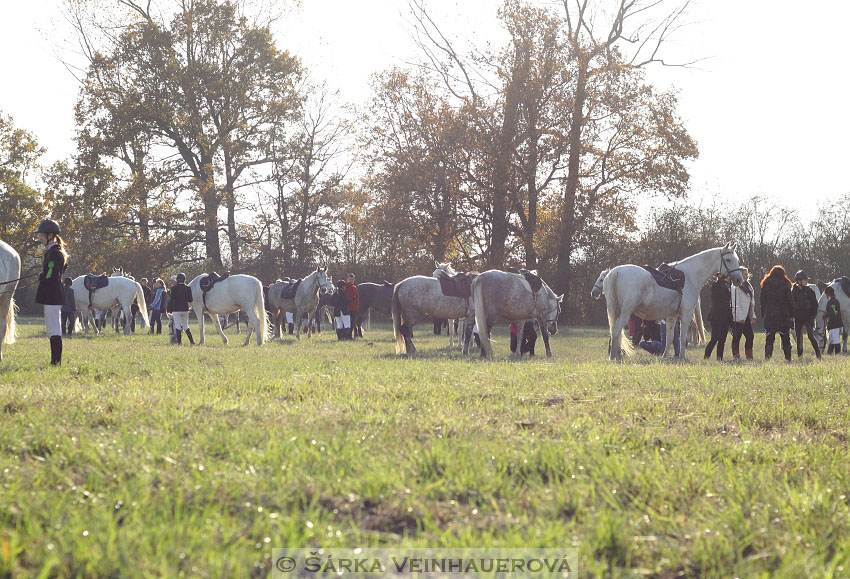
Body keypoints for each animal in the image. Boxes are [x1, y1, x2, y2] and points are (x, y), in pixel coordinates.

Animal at [604, 242, 744, 360]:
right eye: (728, 259)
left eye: (736, 260)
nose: (739, 280)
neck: (691, 276)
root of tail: (616, 272)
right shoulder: (686, 315)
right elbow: (682, 338)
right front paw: (682, 357)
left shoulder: (672, 316)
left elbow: (670, 338)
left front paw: (664, 357)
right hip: (625, 312)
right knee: (616, 331)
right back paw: (613, 357)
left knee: (614, 331)